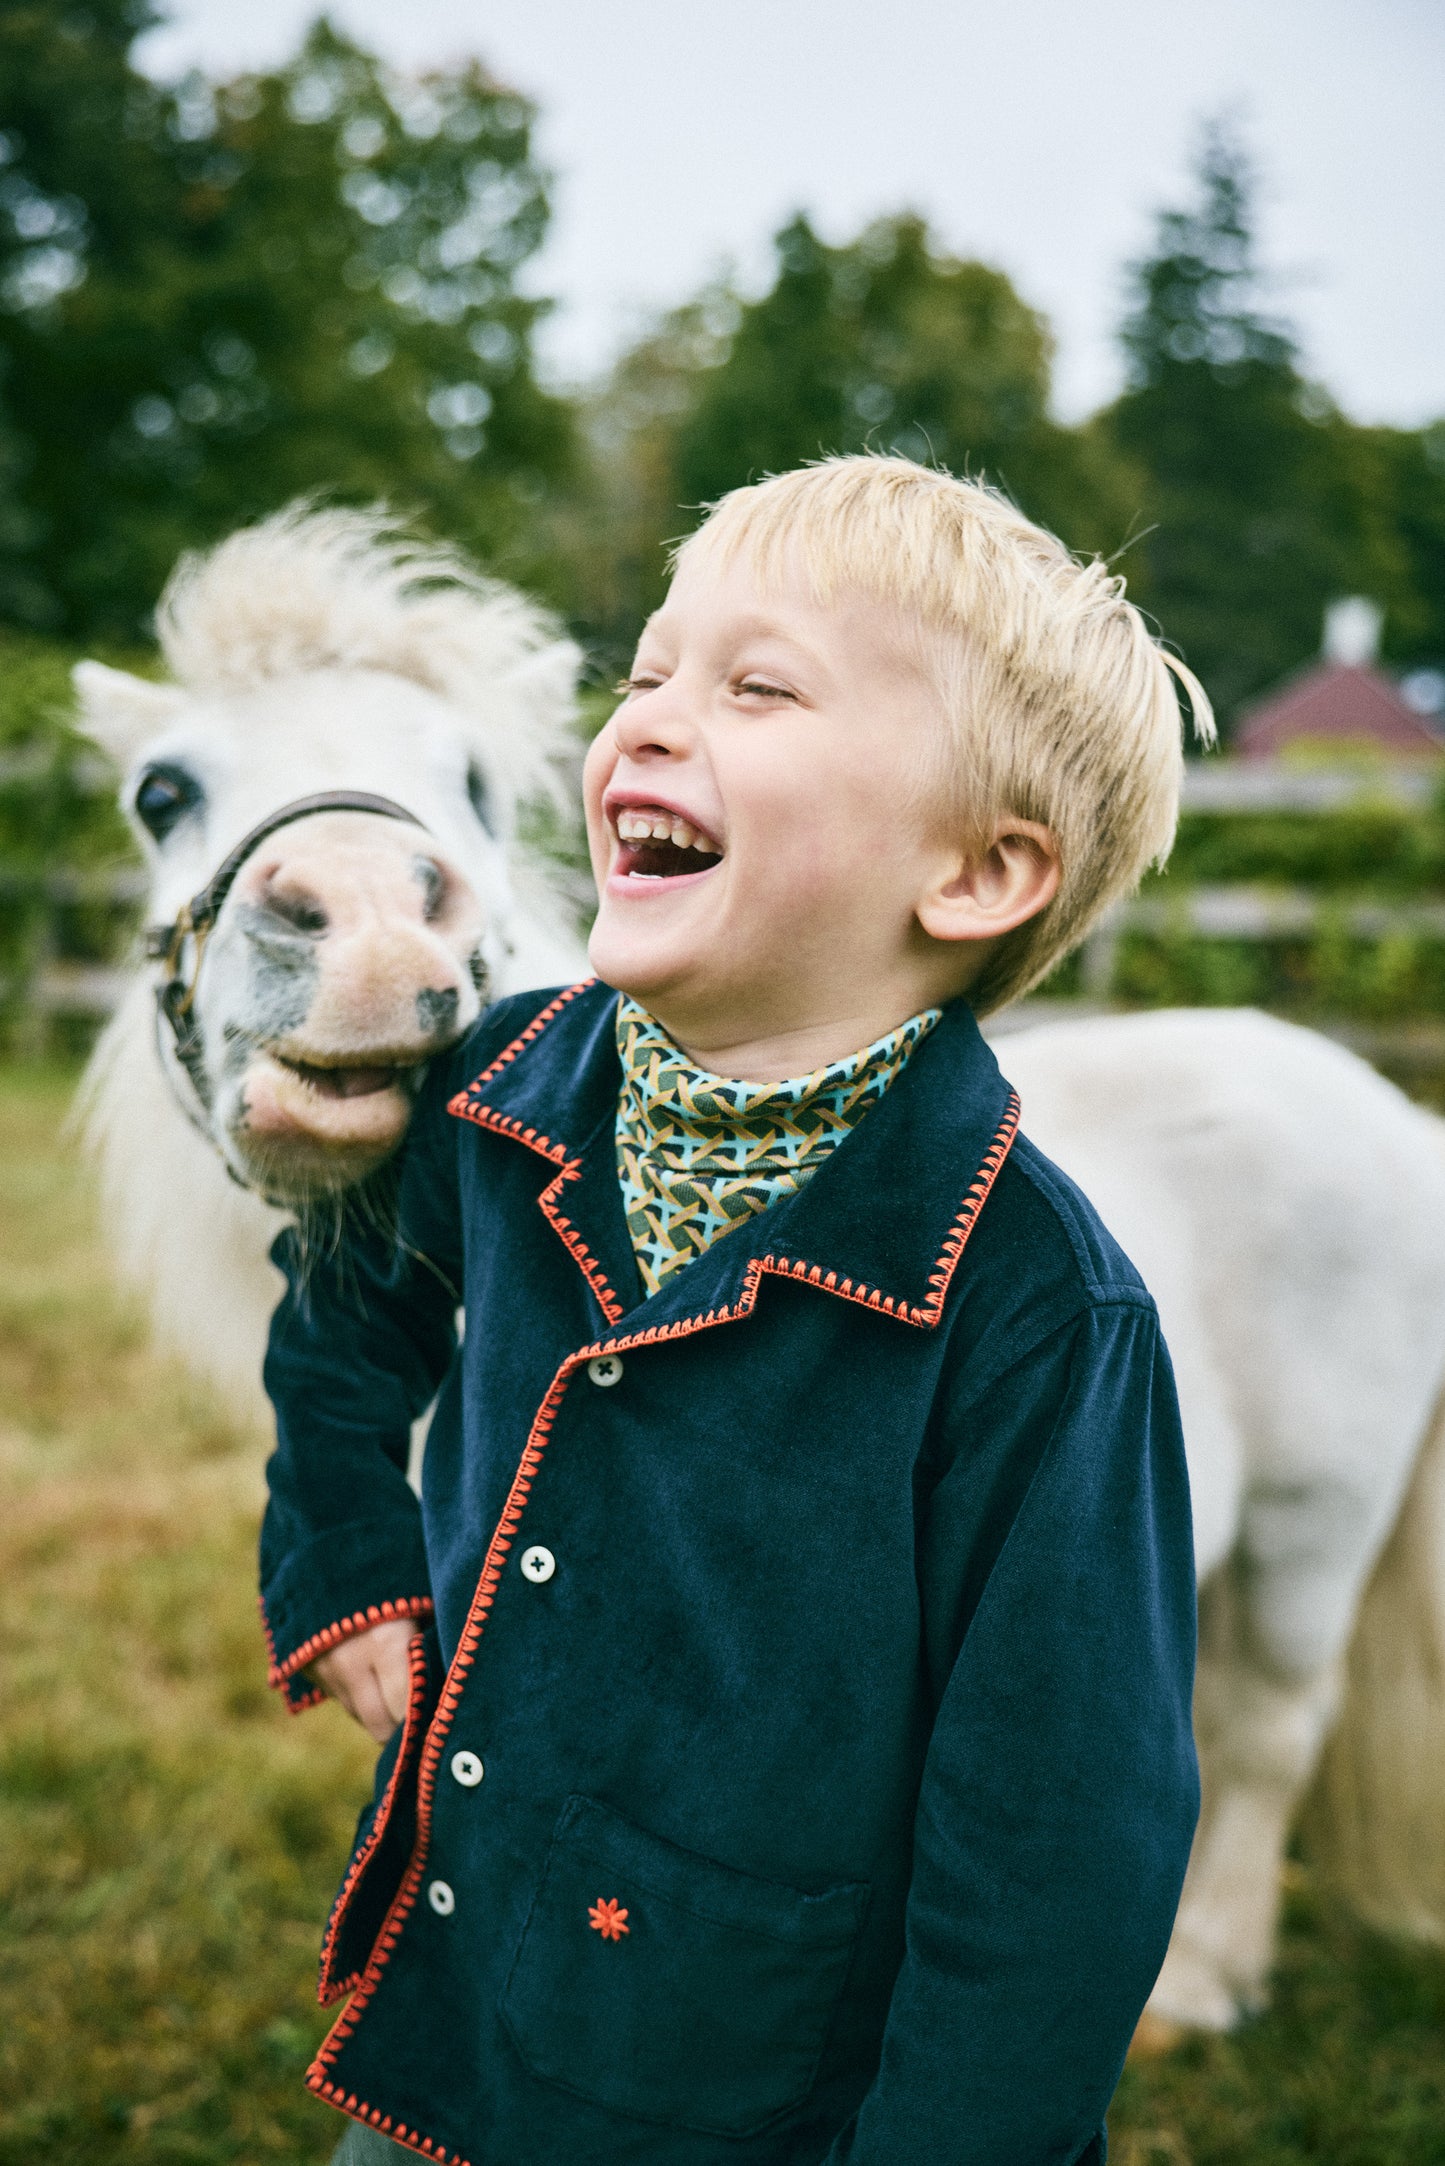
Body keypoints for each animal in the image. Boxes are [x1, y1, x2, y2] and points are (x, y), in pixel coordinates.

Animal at [73, 506, 1445, 2044]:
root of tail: (1395, 1121)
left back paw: (1199, 1982)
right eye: (160, 791)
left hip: (1310, 1535)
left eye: (475, 780)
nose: (365, 932)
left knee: (1270, 1734)